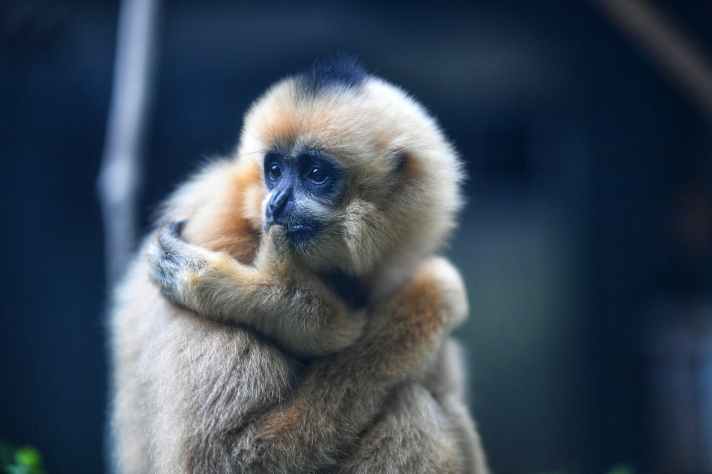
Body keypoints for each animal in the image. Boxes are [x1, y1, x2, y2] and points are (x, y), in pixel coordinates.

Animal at [109, 58, 488, 473]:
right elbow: (227, 454)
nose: (275, 203)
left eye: (315, 174)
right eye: (274, 170)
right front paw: (292, 306)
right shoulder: (219, 229)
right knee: (413, 408)